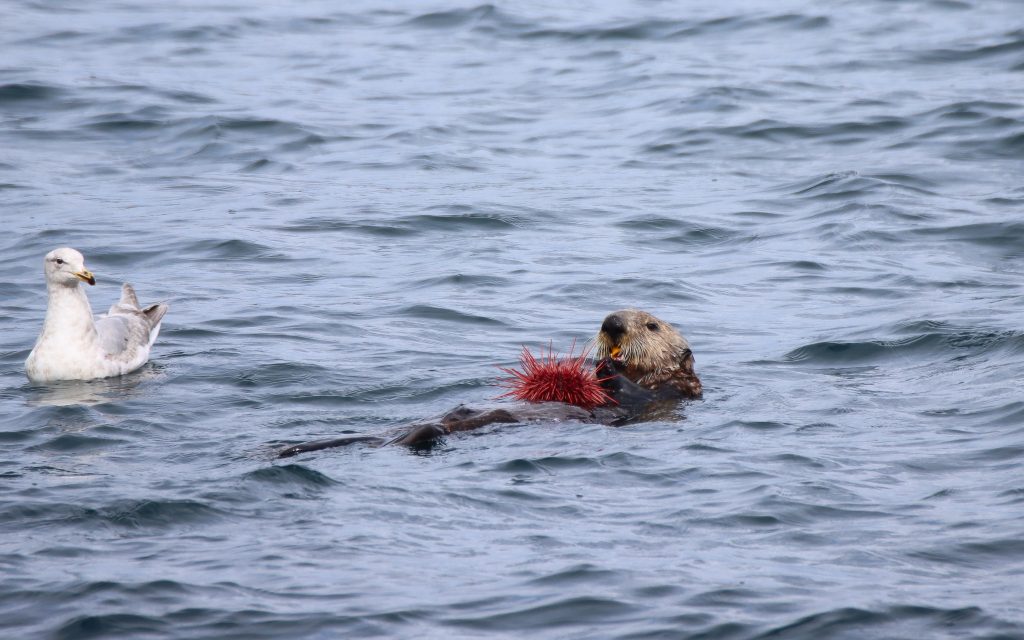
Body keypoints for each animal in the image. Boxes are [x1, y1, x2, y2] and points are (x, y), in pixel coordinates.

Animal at [277, 309, 701, 458]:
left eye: (652, 325)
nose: (611, 324)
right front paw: (598, 362)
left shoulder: (671, 393)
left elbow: (637, 394)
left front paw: (607, 367)